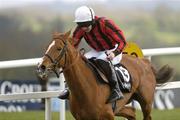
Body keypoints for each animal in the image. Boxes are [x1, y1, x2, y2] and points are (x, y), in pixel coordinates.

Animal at [36, 31, 173, 120]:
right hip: (120, 106)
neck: (85, 88)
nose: (41, 66)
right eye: (47, 47)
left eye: (59, 48)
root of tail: (145, 62)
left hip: (146, 103)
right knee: (132, 112)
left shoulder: (107, 115)